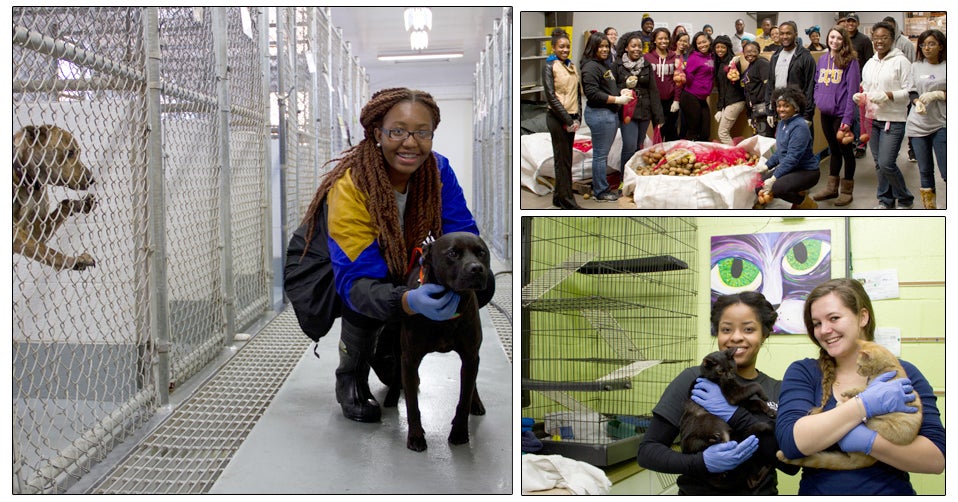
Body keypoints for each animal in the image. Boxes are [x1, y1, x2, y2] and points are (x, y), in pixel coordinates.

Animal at [14, 125, 97, 270]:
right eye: (70, 152)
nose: (91, 179)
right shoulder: (16, 233)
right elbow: (46, 251)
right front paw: (75, 260)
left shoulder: (33, 230)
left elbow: (65, 203)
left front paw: (81, 204)